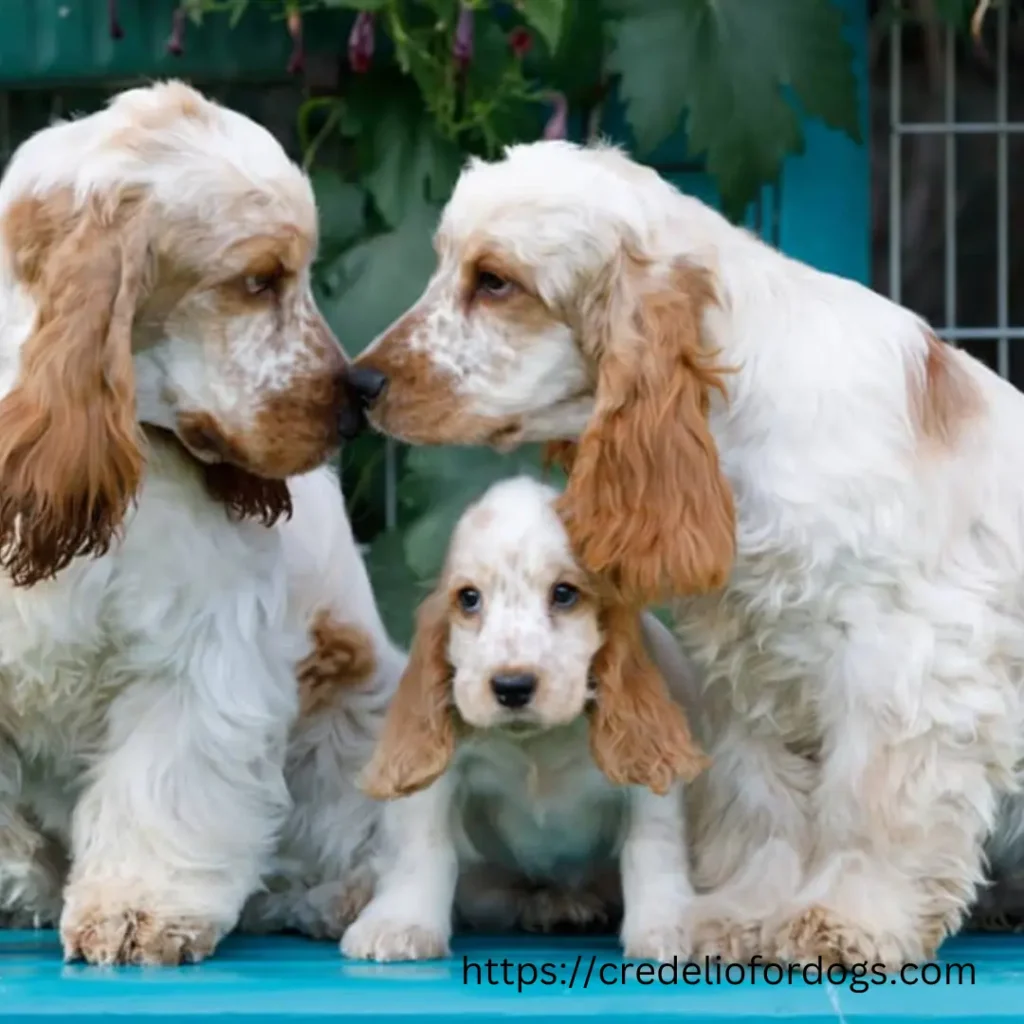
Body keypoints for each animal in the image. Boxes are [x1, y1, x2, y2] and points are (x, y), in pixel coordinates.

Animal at [339, 475, 708, 962]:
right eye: (469, 598)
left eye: (564, 593)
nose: (512, 686)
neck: (536, 742)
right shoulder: (436, 777)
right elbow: (425, 846)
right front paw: (400, 924)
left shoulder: (650, 777)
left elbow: (651, 847)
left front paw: (669, 927)